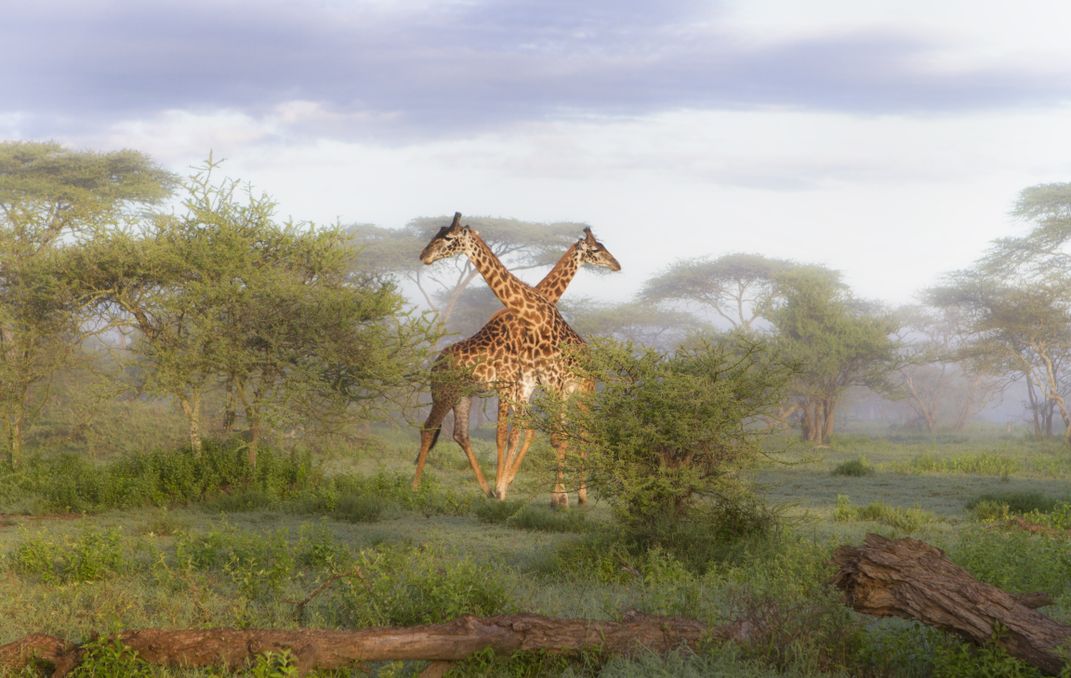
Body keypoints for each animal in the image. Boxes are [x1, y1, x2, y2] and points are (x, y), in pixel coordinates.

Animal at [418, 213, 612, 505]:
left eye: (448, 237)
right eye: (596, 249)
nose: (424, 256)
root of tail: (434, 365)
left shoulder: (522, 385)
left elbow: (520, 433)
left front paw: (506, 487)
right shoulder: (514, 384)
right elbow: (509, 434)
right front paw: (505, 488)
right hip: (449, 393)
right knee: (433, 429)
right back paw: (417, 488)